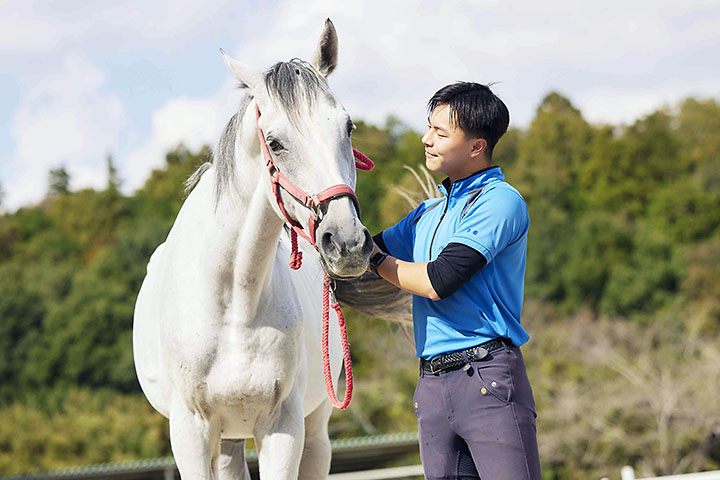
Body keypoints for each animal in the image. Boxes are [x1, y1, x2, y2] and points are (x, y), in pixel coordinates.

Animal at [131, 21, 374, 480]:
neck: (233, 304)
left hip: (313, 431)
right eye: (275, 143)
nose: (347, 242)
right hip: (226, 438)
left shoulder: (284, 427)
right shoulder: (189, 432)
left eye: (348, 127)